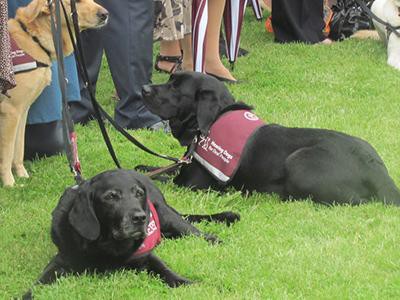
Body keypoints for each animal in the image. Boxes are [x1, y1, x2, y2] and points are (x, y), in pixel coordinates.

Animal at [21, 169, 239, 298]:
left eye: (138, 194)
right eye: (111, 196)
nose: (140, 218)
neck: (107, 244)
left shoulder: (146, 256)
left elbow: (166, 271)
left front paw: (188, 284)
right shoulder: (62, 261)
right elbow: (38, 284)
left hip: (167, 216)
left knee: (193, 229)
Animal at [141, 71, 400, 205]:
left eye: (176, 88)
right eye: (169, 79)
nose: (144, 88)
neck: (212, 121)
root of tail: (377, 169)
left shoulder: (192, 183)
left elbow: (161, 178)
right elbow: (160, 168)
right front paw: (145, 166)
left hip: (299, 161)